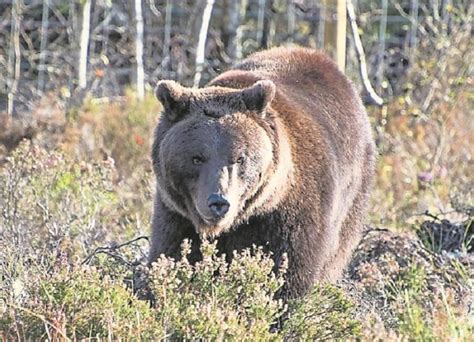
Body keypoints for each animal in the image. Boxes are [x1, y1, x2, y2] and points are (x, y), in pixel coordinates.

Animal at [150, 46, 376, 298]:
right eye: (197, 158)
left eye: (240, 158)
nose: (219, 202)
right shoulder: (177, 213)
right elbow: (175, 253)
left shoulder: (290, 215)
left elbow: (289, 270)